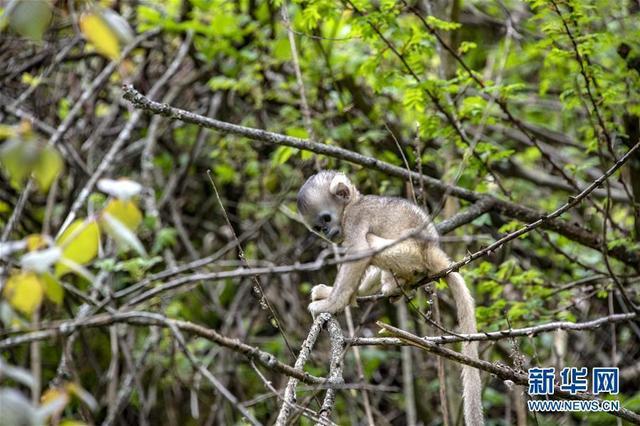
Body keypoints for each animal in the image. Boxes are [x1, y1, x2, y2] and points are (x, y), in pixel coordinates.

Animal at [298, 170, 482, 426]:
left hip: (408, 254)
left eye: (326, 218)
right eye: (318, 226)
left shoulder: (354, 219)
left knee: (372, 244)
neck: (353, 203)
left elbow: (359, 252)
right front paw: (331, 294)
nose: (326, 232)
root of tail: (430, 248)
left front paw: (332, 303)